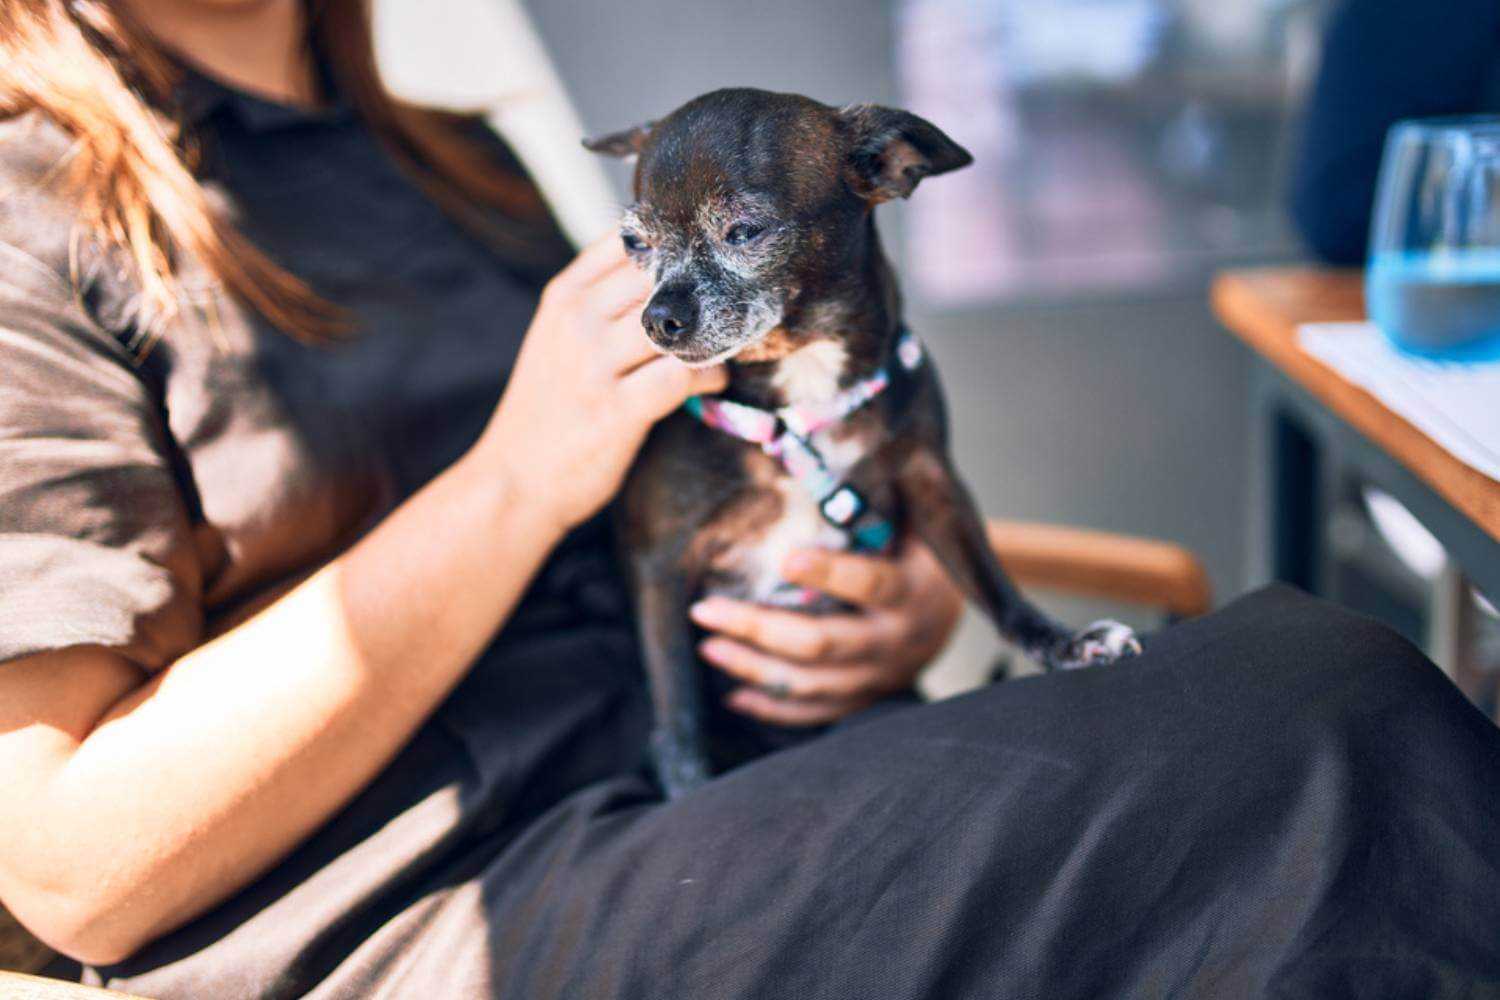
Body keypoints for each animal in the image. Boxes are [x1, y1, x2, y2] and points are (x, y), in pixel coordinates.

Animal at [582, 91, 1134, 797]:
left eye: (745, 232)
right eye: (633, 243)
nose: (657, 318)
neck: (800, 393)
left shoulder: (931, 483)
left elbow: (993, 585)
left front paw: (1062, 644)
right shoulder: (660, 562)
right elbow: (677, 703)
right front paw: (689, 790)